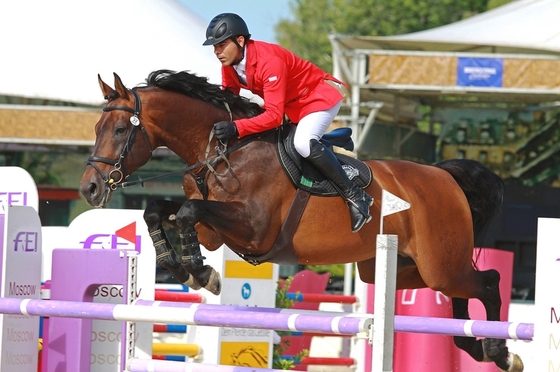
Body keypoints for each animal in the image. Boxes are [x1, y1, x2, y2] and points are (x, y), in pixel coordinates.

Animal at [80, 70, 524, 372]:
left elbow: (187, 212)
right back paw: (477, 345)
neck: (220, 150)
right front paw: (183, 268)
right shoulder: (213, 231)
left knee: (488, 282)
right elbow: (159, 210)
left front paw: (201, 273)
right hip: (401, 270)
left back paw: (500, 351)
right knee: (460, 293)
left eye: (118, 129)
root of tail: (445, 177)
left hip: (439, 264)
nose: (90, 188)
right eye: (96, 126)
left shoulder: (253, 229)